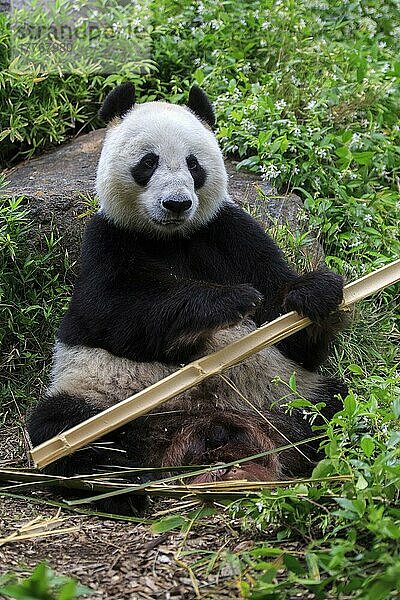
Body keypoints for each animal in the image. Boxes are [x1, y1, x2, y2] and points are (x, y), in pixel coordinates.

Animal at [27, 82, 346, 508]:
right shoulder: (107, 241)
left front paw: (313, 293)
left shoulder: (228, 231)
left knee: (330, 406)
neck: (170, 238)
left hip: (284, 394)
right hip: (100, 395)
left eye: (194, 164)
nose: (176, 203)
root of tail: (201, 427)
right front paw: (229, 301)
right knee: (62, 427)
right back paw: (118, 487)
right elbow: (109, 314)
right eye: (148, 162)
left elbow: (290, 326)